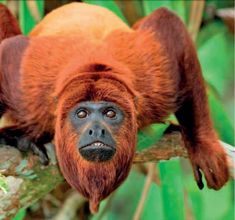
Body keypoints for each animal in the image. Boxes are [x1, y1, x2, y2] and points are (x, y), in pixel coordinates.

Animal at [0, 1, 228, 211]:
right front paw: (13, 138)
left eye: (110, 113)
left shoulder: (155, 87)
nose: (96, 130)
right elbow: (9, 51)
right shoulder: (30, 93)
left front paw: (202, 146)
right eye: (81, 114)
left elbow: (167, 24)